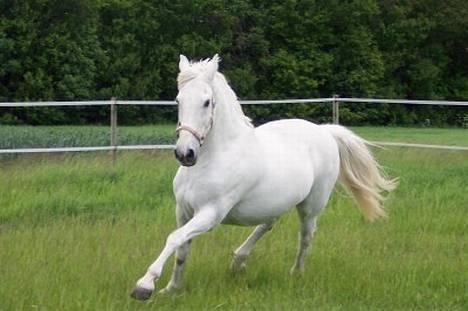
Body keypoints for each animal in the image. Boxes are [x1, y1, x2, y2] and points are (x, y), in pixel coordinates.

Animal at [130, 54, 396, 302]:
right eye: (178, 100)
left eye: (206, 102)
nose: (185, 154)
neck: (213, 159)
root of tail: (324, 131)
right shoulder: (183, 211)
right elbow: (181, 249)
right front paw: (171, 288)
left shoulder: (211, 214)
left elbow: (174, 238)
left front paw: (144, 286)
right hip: (274, 203)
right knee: (268, 224)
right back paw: (238, 262)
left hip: (311, 206)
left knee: (305, 237)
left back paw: (295, 274)